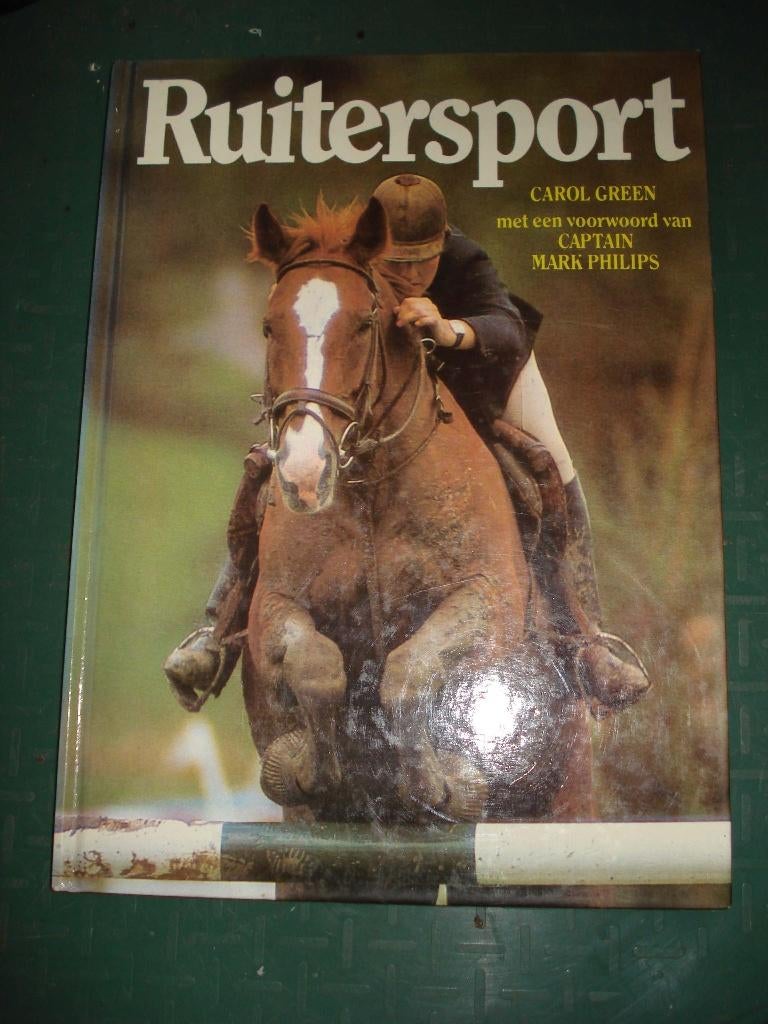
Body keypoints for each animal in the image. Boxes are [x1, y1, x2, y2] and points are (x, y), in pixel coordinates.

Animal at [241, 196, 594, 826]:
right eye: (268, 326)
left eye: (364, 324)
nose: (304, 475)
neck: (371, 492)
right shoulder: (274, 604)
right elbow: (316, 665)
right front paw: (310, 767)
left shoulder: (487, 597)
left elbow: (408, 670)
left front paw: (446, 783)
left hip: (569, 800)